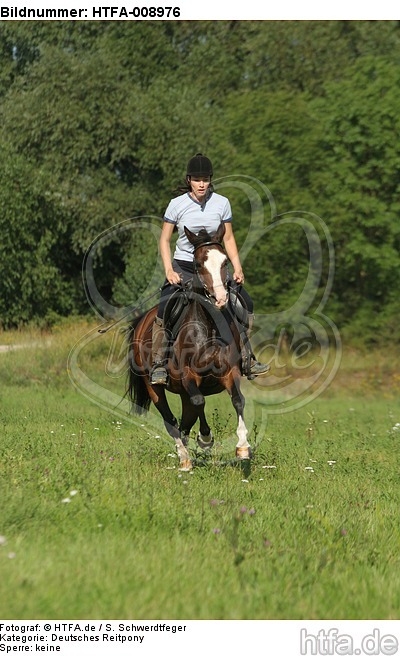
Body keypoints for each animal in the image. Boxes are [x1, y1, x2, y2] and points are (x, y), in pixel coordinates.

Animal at [126, 222, 252, 471]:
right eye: (199, 263)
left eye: (225, 262)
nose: (221, 298)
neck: (209, 326)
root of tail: (142, 320)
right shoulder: (188, 375)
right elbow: (199, 401)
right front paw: (205, 438)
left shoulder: (229, 372)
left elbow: (237, 400)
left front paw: (242, 447)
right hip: (154, 387)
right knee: (171, 419)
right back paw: (184, 458)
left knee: (186, 418)